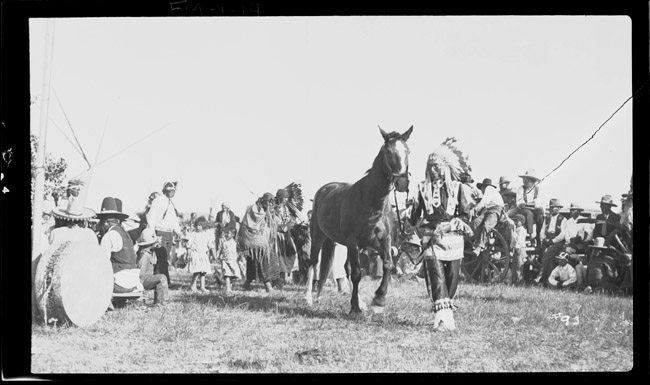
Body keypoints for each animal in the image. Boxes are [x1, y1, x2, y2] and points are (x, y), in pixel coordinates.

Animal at [302, 125, 410, 312]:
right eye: (389, 151)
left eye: (408, 151)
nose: (402, 183)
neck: (372, 202)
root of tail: (324, 189)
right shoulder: (354, 242)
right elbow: (357, 273)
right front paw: (354, 308)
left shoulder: (383, 240)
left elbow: (388, 265)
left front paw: (378, 300)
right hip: (318, 237)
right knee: (313, 262)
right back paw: (308, 298)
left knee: (345, 268)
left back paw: (361, 301)